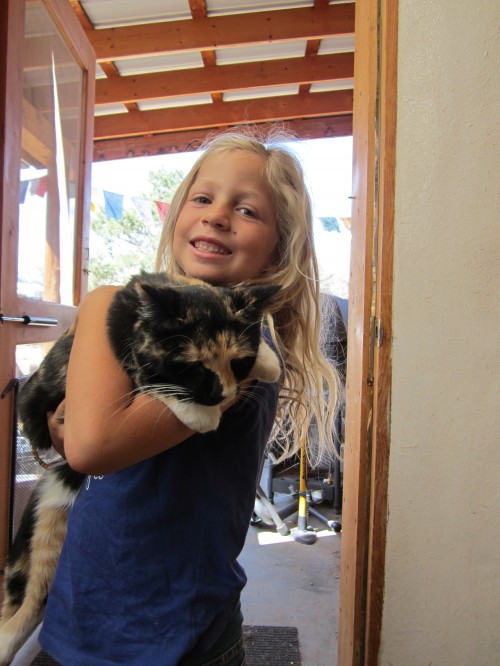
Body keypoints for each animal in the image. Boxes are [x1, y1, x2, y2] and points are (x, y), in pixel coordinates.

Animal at [0, 272, 282, 664]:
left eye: (239, 362)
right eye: (193, 367)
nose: (222, 395)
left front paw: (269, 362)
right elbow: (148, 378)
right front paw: (200, 413)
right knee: (23, 606)